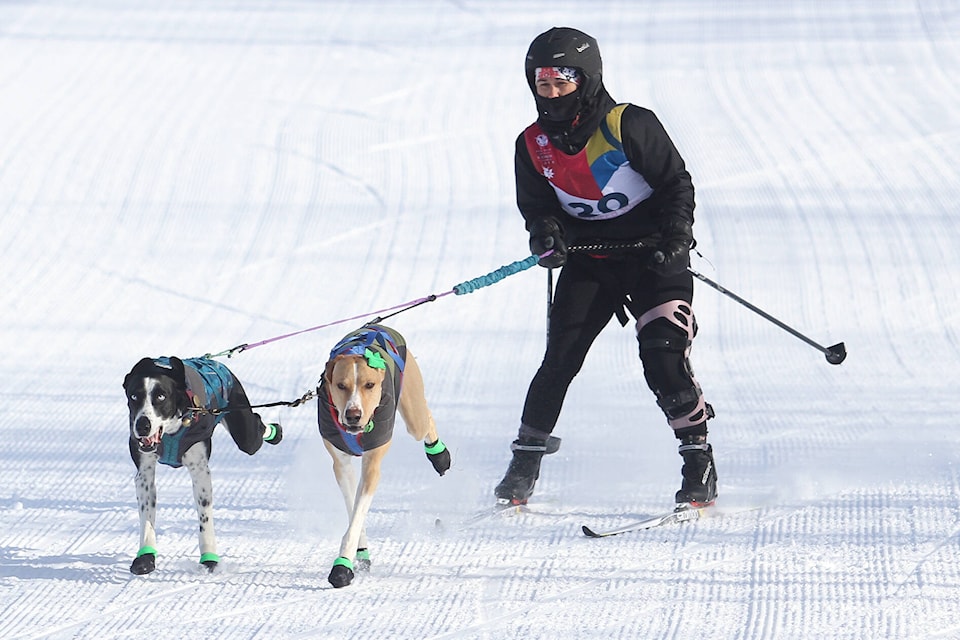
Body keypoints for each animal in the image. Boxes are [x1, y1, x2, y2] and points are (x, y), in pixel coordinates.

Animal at [124, 356, 282, 576]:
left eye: (161, 396)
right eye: (134, 396)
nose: (142, 425)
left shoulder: (200, 471)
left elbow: (204, 517)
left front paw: (209, 558)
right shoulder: (144, 473)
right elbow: (147, 515)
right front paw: (145, 558)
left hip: (245, 433)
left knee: (256, 426)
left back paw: (275, 432)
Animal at [316, 322, 450, 588]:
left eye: (369, 385)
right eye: (341, 385)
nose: (353, 415)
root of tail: (378, 324)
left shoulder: (372, 464)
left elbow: (358, 513)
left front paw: (341, 566)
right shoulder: (341, 465)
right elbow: (353, 511)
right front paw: (357, 555)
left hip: (413, 411)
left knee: (426, 418)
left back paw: (439, 455)